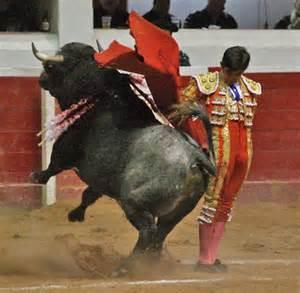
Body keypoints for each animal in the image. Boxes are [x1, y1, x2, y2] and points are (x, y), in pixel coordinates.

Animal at [30, 42, 216, 272]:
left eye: (50, 67)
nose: (40, 79)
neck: (101, 99)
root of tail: (195, 155)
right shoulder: (100, 180)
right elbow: (88, 195)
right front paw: (76, 215)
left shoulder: (67, 147)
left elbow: (54, 164)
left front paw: (36, 176)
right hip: (178, 211)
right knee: (160, 234)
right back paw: (150, 263)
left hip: (133, 201)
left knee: (148, 231)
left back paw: (124, 267)